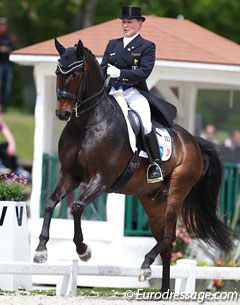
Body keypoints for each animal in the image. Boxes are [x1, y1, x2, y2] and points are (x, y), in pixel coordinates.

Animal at [32, 39, 233, 290]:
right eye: (58, 72)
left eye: (77, 73)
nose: (63, 112)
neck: (86, 124)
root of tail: (194, 142)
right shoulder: (70, 175)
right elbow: (50, 202)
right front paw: (41, 250)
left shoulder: (101, 180)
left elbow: (77, 207)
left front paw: (83, 250)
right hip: (152, 200)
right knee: (165, 240)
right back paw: (162, 288)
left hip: (177, 190)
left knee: (168, 236)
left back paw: (146, 264)